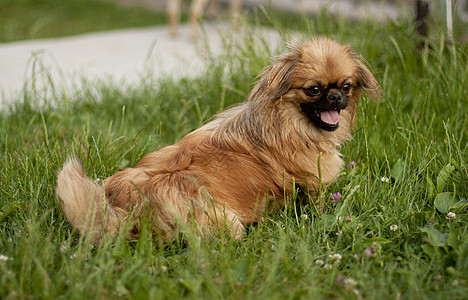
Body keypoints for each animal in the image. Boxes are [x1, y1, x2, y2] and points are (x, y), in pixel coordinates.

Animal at [56, 38, 382, 244]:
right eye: (314, 89)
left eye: (346, 86)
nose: (336, 97)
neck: (287, 123)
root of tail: (129, 208)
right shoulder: (313, 184)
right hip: (226, 222)